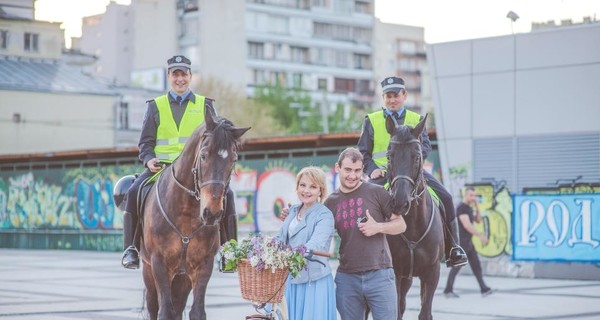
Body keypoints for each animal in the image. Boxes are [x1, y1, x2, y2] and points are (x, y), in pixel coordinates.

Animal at [384, 115, 446, 320]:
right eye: (389, 156)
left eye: (417, 156)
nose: (400, 202)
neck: (412, 225)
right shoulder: (394, 272)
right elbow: (394, 311)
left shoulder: (432, 273)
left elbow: (425, 313)